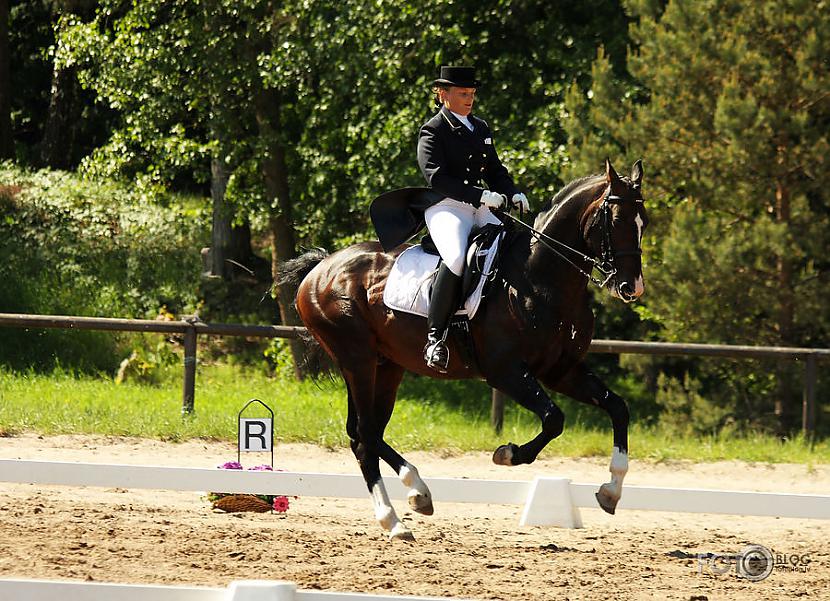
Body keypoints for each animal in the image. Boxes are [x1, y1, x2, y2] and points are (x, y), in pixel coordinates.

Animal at [282, 159, 648, 540]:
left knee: (364, 433)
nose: (631, 288)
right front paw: (507, 453)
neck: (541, 279)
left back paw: (414, 496)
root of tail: (321, 268)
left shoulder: (561, 371)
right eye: (616, 221)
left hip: (387, 365)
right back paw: (397, 517)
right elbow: (554, 419)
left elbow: (618, 409)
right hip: (357, 360)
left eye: (644, 222)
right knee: (365, 434)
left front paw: (611, 491)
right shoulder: (505, 372)